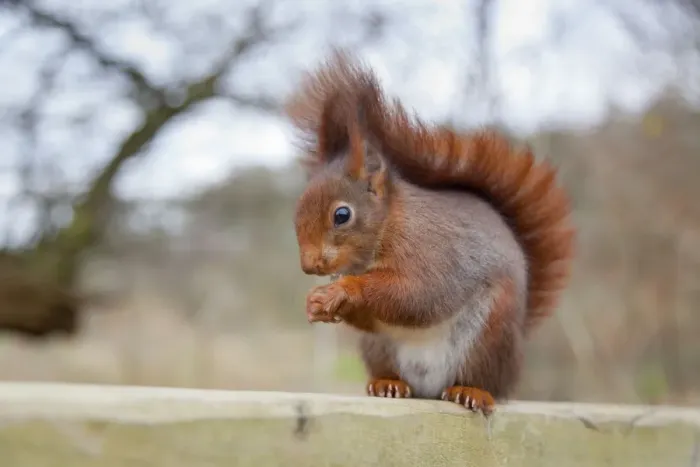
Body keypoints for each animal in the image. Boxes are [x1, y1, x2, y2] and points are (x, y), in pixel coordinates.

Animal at [285, 49, 575, 415]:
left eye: (342, 215)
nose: (309, 266)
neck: (388, 226)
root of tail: (431, 388)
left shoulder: (434, 252)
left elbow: (419, 295)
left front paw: (344, 289)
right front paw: (316, 301)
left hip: (489, 335)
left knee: (485, 380)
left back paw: (472, 391)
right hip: (377, 347)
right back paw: (388, 384)